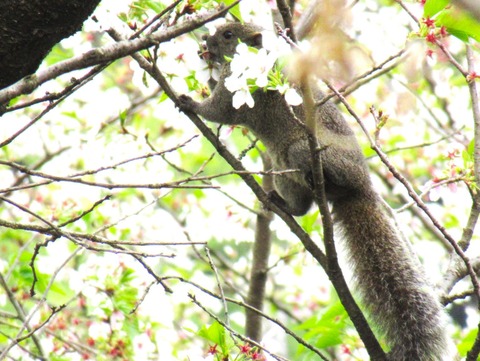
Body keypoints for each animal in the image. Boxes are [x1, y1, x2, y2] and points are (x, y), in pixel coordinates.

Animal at [177, 21, 450, 358]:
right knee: (301, 206)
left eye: (228, 35)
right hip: (284, 172)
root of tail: (361, 186)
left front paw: (190, 101)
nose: (205, 39)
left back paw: (318, 181)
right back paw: (279, 202)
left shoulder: (236, 95)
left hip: (305, 152)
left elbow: (217, 110)